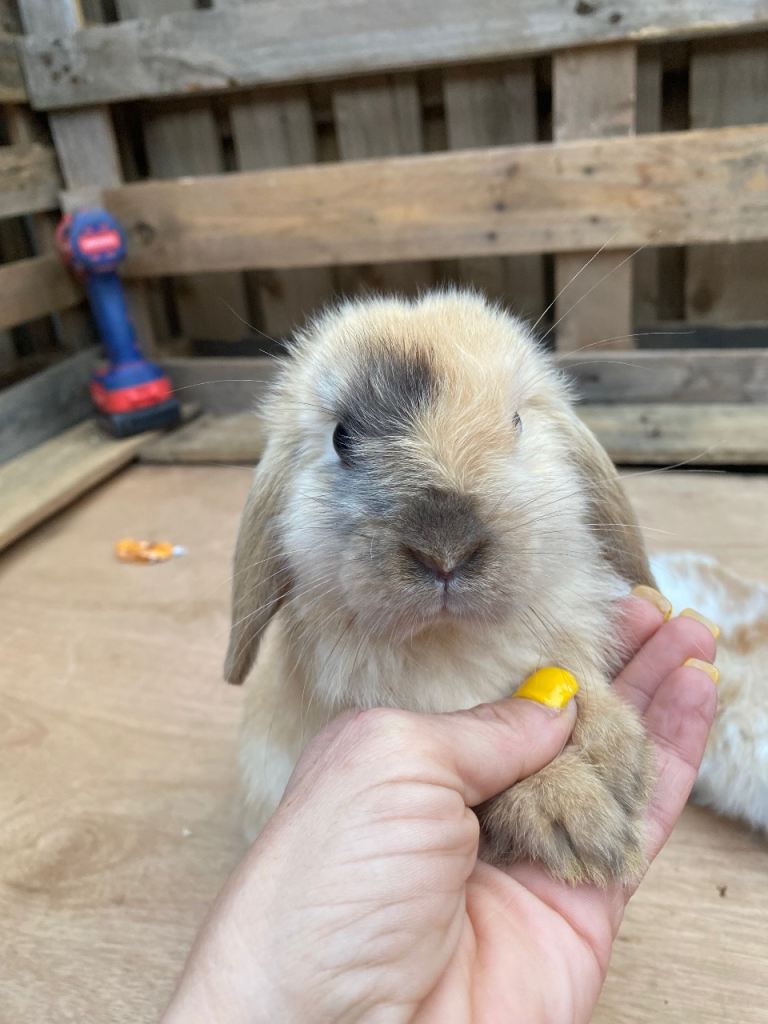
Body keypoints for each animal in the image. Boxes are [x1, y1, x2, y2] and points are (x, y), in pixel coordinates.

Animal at [224, 289, 659, 886]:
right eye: (341, 438)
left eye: (517, 422)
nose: (446, 551)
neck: (453, 640)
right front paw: (574, 816)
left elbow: (577, 681)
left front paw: (620, 756)